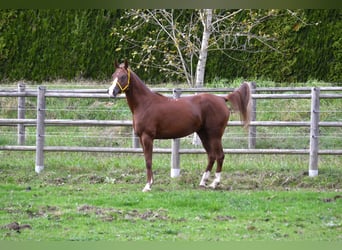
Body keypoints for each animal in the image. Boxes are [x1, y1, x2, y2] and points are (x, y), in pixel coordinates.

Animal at [107, 60, 251, 191]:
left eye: (123, 76)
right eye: (113, 75)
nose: (111, 92)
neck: (145, 103)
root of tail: (221, 99)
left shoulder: (147, 137)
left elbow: (148, 161)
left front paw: (148, 186)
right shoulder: (142, 138)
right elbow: (147, 160)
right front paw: (150, 183)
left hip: (215, 135)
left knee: (220, 156)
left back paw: (214, 183)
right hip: (203, 134)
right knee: (211, 156)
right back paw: (202, 182)